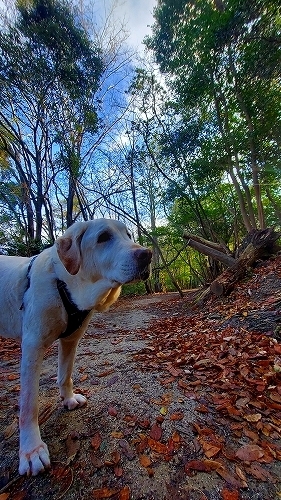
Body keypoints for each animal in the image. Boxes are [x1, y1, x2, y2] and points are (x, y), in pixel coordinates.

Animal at [0, 219, 151, 476]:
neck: (64, 285)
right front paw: (31, 450)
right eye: (103, 238)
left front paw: (68, 399)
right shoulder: (32, 347)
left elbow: (65, 375)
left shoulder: (71, 340)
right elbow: (29, 405)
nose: (147, 254)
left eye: (128, 235)